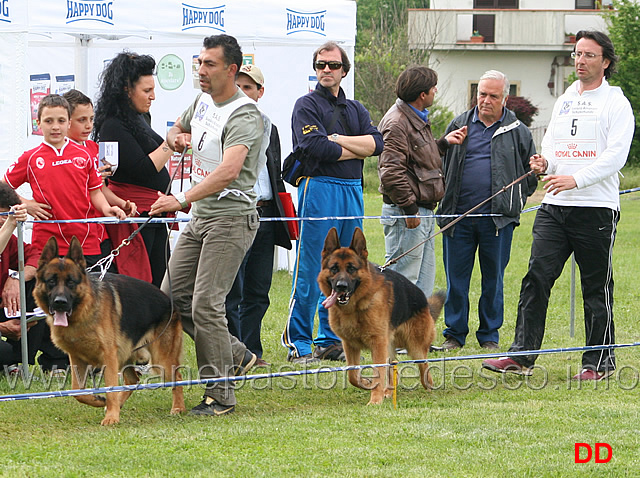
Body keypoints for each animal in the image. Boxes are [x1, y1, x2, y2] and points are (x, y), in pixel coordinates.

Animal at [34, 237, 185, 424]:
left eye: (71, 282)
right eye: (51, 281)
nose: (60, 302)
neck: (84, 312)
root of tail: (170, 302)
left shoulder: (109, 356)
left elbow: (111, 387)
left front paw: (111, 417)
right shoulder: (76, 358)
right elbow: (77, 391)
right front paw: (100, 401)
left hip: (161, 360)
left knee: (177, 378)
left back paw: (178, 407)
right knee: (133, 380)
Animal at [318, 227, 444, 404]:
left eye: (351, 269)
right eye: (334, 268)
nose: (341, 286)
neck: (356, 306)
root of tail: (423, 300)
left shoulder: (377, 344)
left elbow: (378, 373)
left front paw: (375, 401)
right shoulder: (350, 345)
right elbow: (352, 375)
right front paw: (366, 383)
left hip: (415, 347)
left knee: (424, 365)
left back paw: (428, 386)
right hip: (389, 347)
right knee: (392, 367)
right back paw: (389, 391)